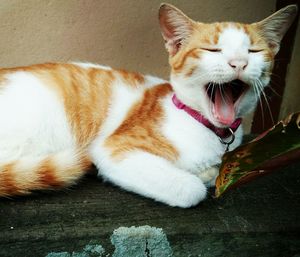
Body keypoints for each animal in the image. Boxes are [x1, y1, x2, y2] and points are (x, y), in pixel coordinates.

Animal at [0, 3, 296, 206]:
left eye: (253, 51)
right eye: (213, 50)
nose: (239, 63)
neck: (205, 128)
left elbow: (211, 174)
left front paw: (207, 172)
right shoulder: (115, 149)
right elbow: (192, 190)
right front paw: (198, 179)